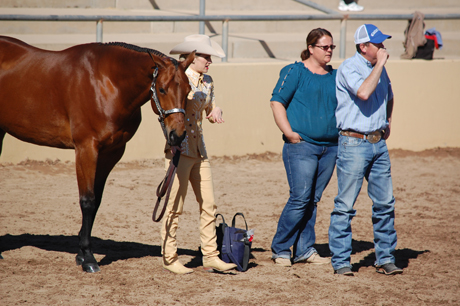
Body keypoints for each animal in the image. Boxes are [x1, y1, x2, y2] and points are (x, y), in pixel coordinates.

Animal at [0, 35, 194, 272]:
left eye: (188, 90)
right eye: (163, 89)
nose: (178, 135)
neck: (106, 83)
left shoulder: (111, 152)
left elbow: (97, 201)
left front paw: (81, 254)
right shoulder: (86, 149)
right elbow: (88, 200)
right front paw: (89, 258)